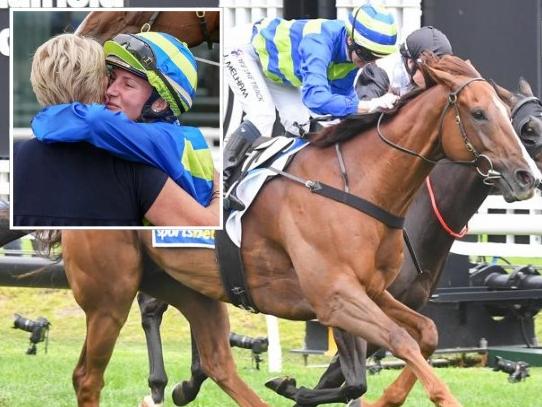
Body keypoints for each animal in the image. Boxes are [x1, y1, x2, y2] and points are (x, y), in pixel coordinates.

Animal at [59, 53, 540, 404]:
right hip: (111, 293)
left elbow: (423, 336)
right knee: (89, 373)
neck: (359, 185)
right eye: (479, 114)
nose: (526, 177)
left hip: (192, 286)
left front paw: (299, 387)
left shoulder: (372, 292)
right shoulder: (336, 297)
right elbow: (394, 347)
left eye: (507, 117)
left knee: (216, 361)